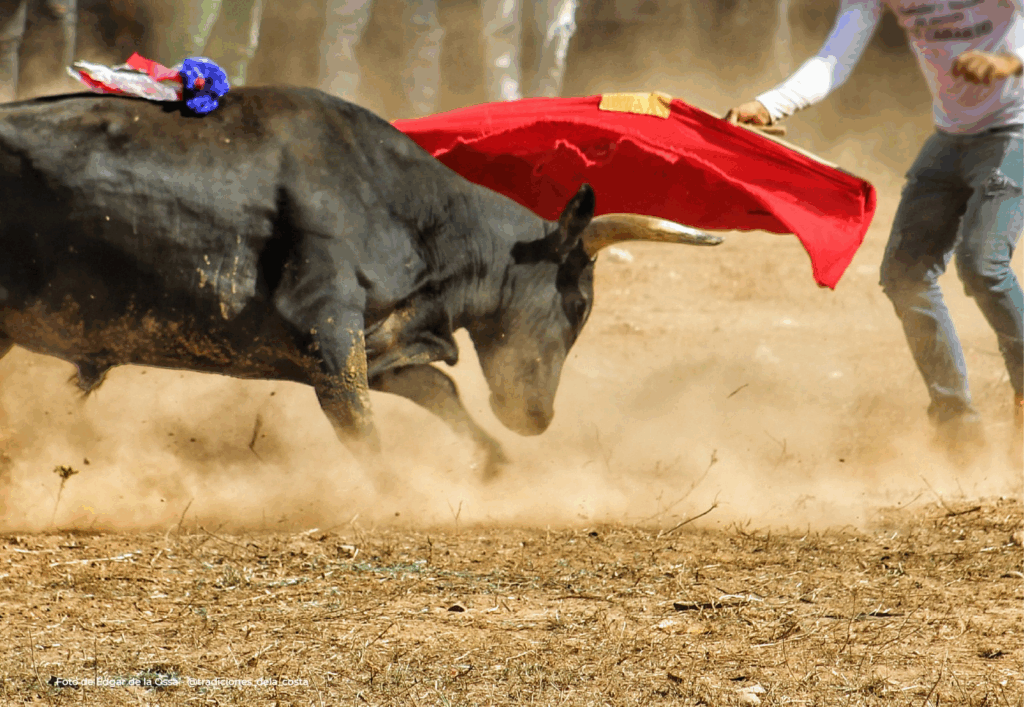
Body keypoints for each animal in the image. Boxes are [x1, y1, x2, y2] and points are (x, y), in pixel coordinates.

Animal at [0, 86, 722, 482]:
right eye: (577, 303)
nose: (535, 418)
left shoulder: (383, 341)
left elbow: (439, 392)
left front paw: (491, 466)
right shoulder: (328, 330)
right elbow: (362, 426)